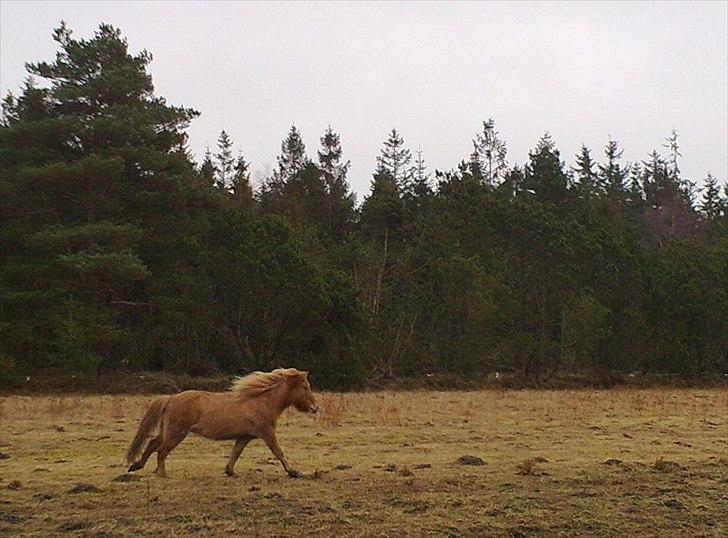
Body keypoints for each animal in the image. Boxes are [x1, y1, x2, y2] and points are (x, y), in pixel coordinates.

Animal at [126, 366, 318, 476]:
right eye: (305, 387)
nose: (315, 408)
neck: (262, 401)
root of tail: (171, 398)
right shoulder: (267, 433)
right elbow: (278, 451)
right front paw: (294, 471)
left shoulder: (244, 436)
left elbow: (235, 452)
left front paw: (229, 471)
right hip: (176, 433)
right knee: (161, 450)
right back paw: (161, 473)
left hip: (167, 431)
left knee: (153, 443)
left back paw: (136, 466)